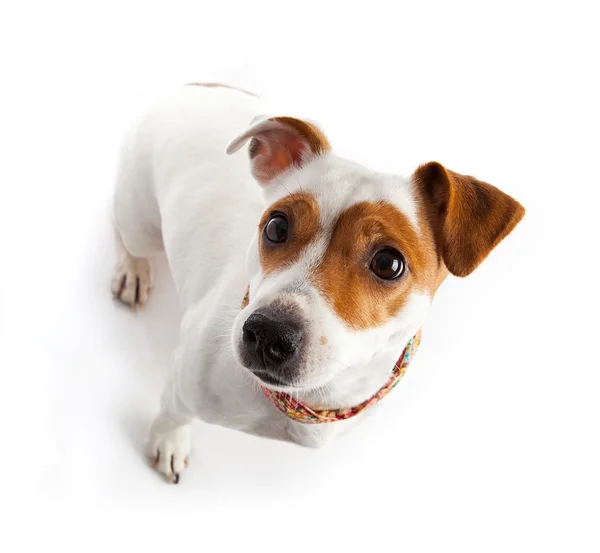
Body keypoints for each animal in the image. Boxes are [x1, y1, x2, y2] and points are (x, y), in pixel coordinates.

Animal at [111, 83, 524, 484]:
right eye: (276, 226)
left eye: (388, 263)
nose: (268, 332)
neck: (306, 401)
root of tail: (196, 86)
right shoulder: (183, 383)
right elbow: (173, 415)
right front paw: (169, 442)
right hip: (141, 223)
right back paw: (132, 270)